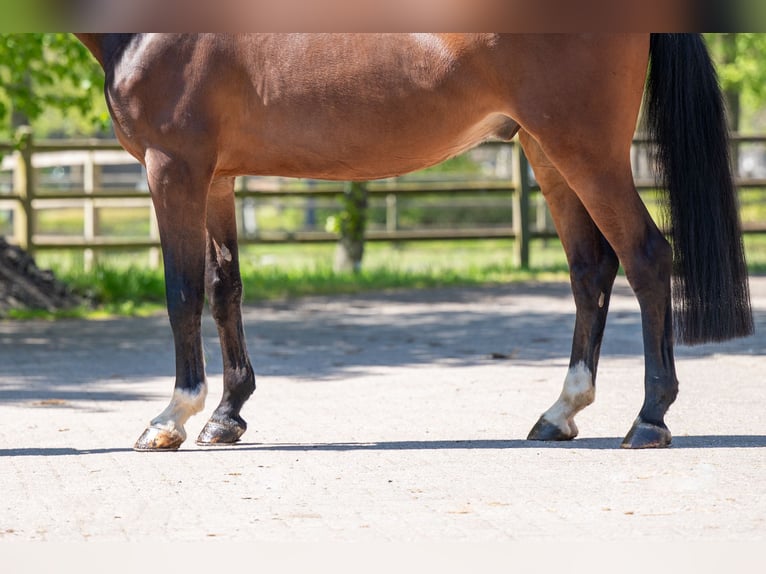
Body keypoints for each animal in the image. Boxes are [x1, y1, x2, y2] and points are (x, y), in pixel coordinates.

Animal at [74, 33, 753, 451]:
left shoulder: (174, 169)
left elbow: (182, 294)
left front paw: (171, 418)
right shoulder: (215, 178)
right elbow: (224, 290)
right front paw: (226, 415)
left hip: (585, 150)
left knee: (646, 259)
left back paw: (649, 419)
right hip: (548, 151)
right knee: (591, 270)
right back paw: (560, 412)